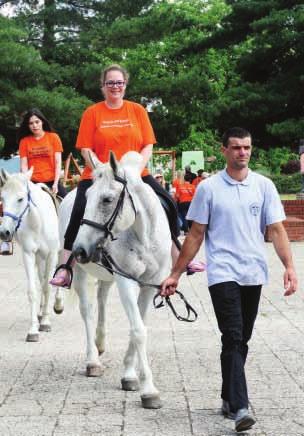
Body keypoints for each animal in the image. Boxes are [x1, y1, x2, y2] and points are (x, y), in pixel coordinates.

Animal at [0, 169, 63, 342]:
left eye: (20, 199)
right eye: (2, 198)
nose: (4, 232)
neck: (38, 221)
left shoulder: (52, 254)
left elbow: (48, 286)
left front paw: (46, 322)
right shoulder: (29, 254)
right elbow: (33, 290)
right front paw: (34, 329)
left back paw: (58, 305)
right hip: (40, 258)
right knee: (42, 279)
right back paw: (41, 312)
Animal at [58, 151, 172, 408]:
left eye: (107, 199)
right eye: (87, 197)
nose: (80, 249)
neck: (142, 236)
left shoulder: (150, 284)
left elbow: (139, 325)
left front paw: (129, 375)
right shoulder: (126, 281)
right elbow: (138, 330)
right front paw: (149, 390)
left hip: (105, 277)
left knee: (101, 299)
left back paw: (100, 343)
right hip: (80, 273)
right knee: (87, 310)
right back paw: (92, 360)